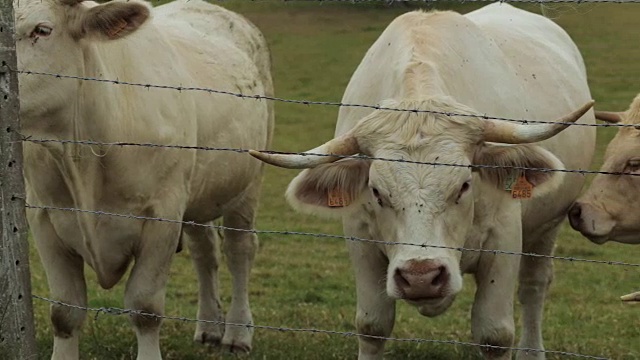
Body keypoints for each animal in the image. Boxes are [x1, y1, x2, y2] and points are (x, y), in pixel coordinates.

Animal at [15, 0, 274, 358]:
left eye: (42, 30)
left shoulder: (162, 218)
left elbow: (145, 308)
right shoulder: (44, 217)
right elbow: (65, 311)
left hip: (248, 184)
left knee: (239, 250)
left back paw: (237, 332)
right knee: (205, 251)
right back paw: (209, 326)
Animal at [250, 3, 596, 360]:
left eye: (464, 185)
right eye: (377, 192)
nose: (421, 277)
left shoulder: (505, 237)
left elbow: (495, 334)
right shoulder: (361, 238)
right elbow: (372, 325)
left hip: (547, 227)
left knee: (533, 287)